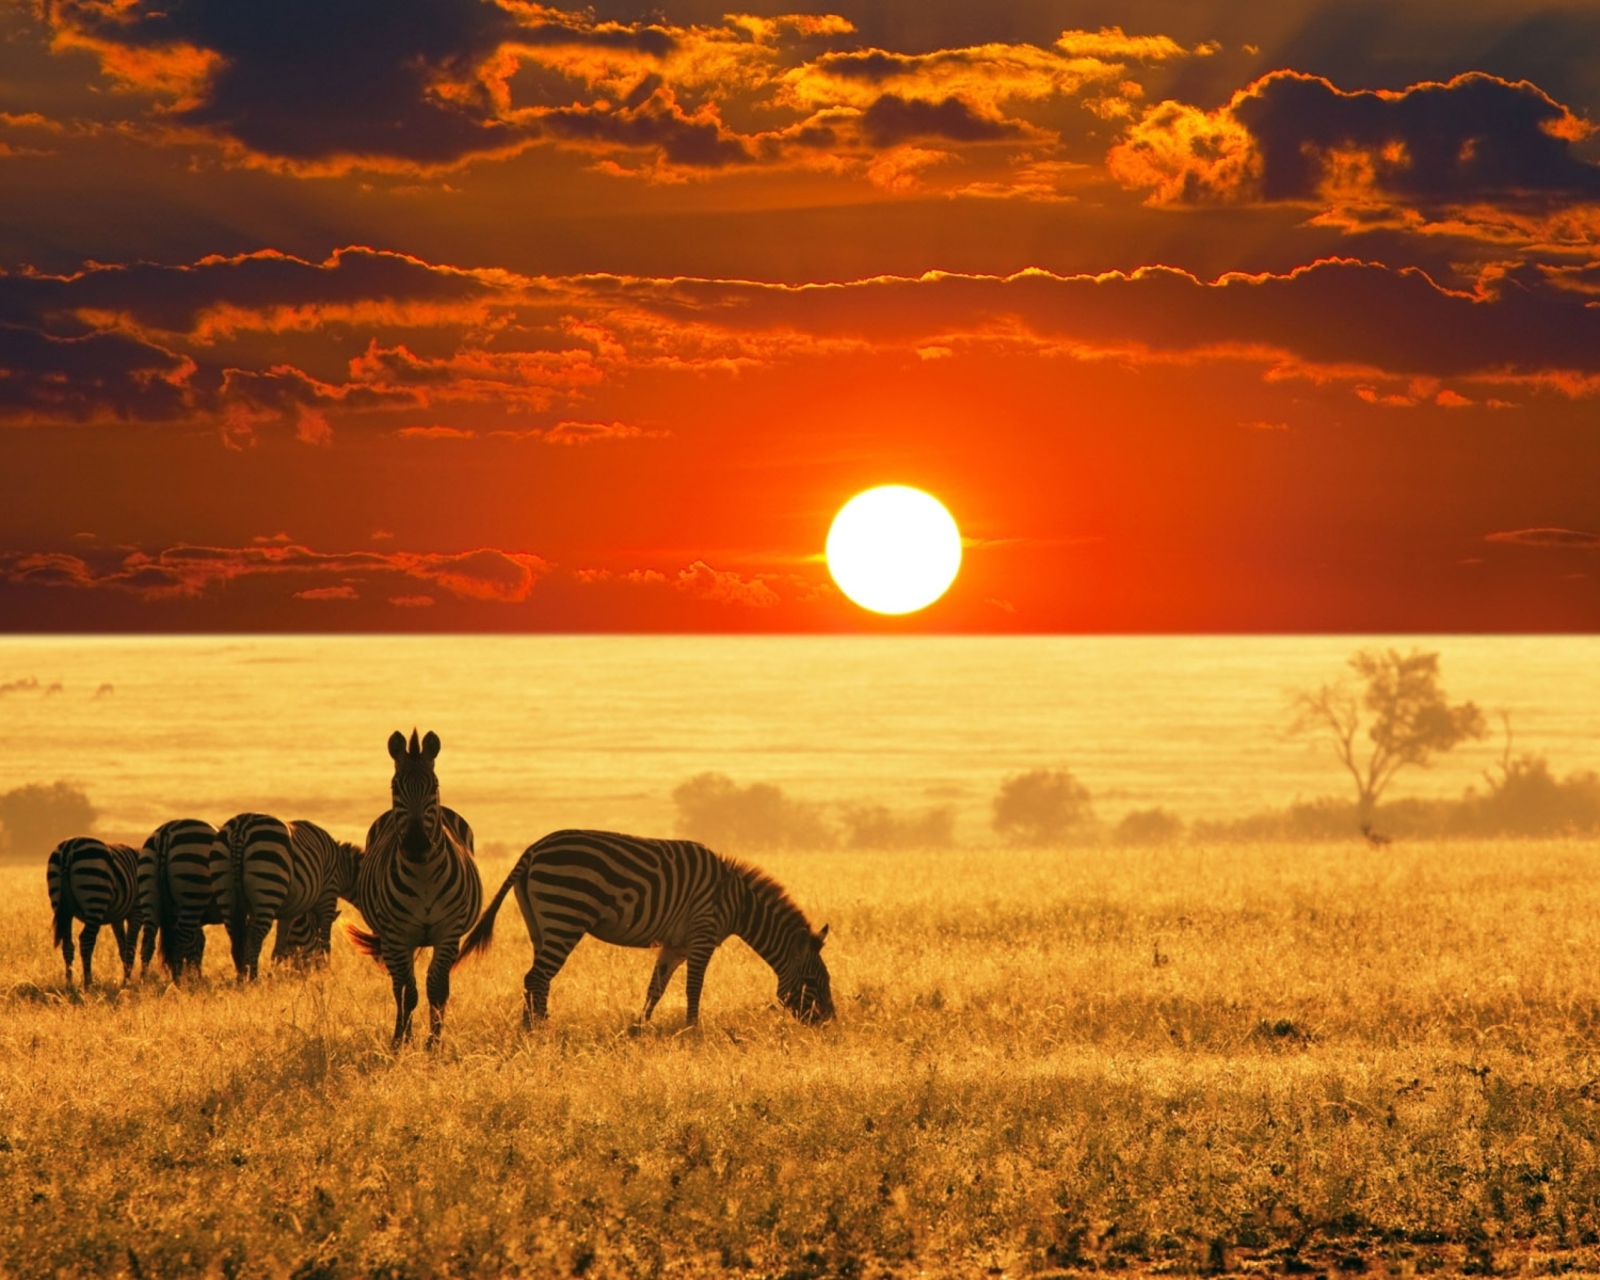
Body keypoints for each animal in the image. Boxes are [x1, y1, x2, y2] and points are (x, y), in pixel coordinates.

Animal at [46, 832, 143, 985]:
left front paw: (126, 979)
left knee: (67, 944)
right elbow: (131, 948)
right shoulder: (136, 911)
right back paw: (88, 982)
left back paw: (69, 983)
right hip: (95, 898)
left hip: (60, 904)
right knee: (86, 940)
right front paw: (127, 981)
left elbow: (123, 947)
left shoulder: (117, 918)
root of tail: (68, 849)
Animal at [136, 819, 220, 979]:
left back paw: (143, 981)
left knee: (148, 942)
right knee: (179, 943)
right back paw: (178, 982)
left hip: (149, 893)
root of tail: (167, 830)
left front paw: (196, 977)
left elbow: (197, 946)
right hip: (193, 892)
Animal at [211, 809, 358, 979]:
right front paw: (327, 971)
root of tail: (241, 827)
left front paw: (272, 974)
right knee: (254, 936)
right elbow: (325, 939)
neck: (342, 869)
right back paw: (253, 978)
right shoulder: (328, 896)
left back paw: (242, 977)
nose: (314, 970)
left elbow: (279, 946)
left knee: (237, 936)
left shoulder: (286, 911)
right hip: (268, 885)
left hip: (225, 891)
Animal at [356, 729, 486, 1049]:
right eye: (395, 786)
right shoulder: (397, 934)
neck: (423, 874)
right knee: (399, 987)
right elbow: (409, 992)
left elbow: (437, 989)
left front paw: (433, 1043)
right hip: (391, 941)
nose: (417, 845)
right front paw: (402, 1040)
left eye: (434, 786)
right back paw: (399, 1034)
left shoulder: (448, 932)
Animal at [457, 832, 832, 1030]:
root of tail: (534, 848)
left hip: (540, 923)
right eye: (813, 981)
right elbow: (694, 988)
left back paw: (531, 1027)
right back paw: (538, 1030)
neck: (738, 901)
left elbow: (656, 988)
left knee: (536, 977)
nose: (830, 1022)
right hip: (566, 914)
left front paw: (640, 1028)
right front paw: (693, 1031)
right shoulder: (703, 934)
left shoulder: (676, 945)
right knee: (537, 976)